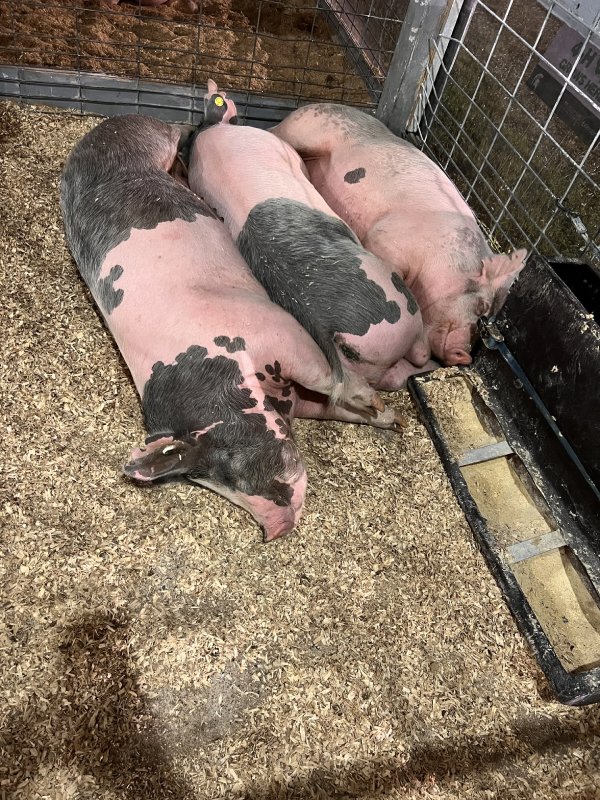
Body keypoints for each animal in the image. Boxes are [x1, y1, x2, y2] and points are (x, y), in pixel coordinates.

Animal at [60, 113, 387, 542]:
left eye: (232, 468)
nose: (272, 530)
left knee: (177, 137)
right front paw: (391, 420)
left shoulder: (278, 331)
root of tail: (94, 134)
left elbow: (327, 378)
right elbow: (331, 405)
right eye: (217, 484)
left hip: (152, 138)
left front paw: (379, 407)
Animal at [271, 103, 527, 366]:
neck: (442, 259)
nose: (464, 355)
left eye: (487, 323)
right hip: (306, 129)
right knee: (275, 131)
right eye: (481, 308)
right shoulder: (386, 239)